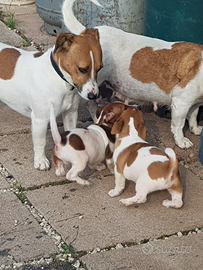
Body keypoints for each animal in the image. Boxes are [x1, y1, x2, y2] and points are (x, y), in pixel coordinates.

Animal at [0, 28, 101, 170]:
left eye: (100, 68)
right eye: (82, 69)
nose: (94, 96)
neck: (59, 79)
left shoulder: (70, 113)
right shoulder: (40, 120)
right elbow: (40, 142)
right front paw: (40, 160)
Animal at [62, 0, 203, 148]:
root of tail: (88, 32)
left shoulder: (194, 103)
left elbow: (193, 115)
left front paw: (195, 129)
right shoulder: (181, 103)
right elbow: (179, 125)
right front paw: (181, 141)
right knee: (90, 104)